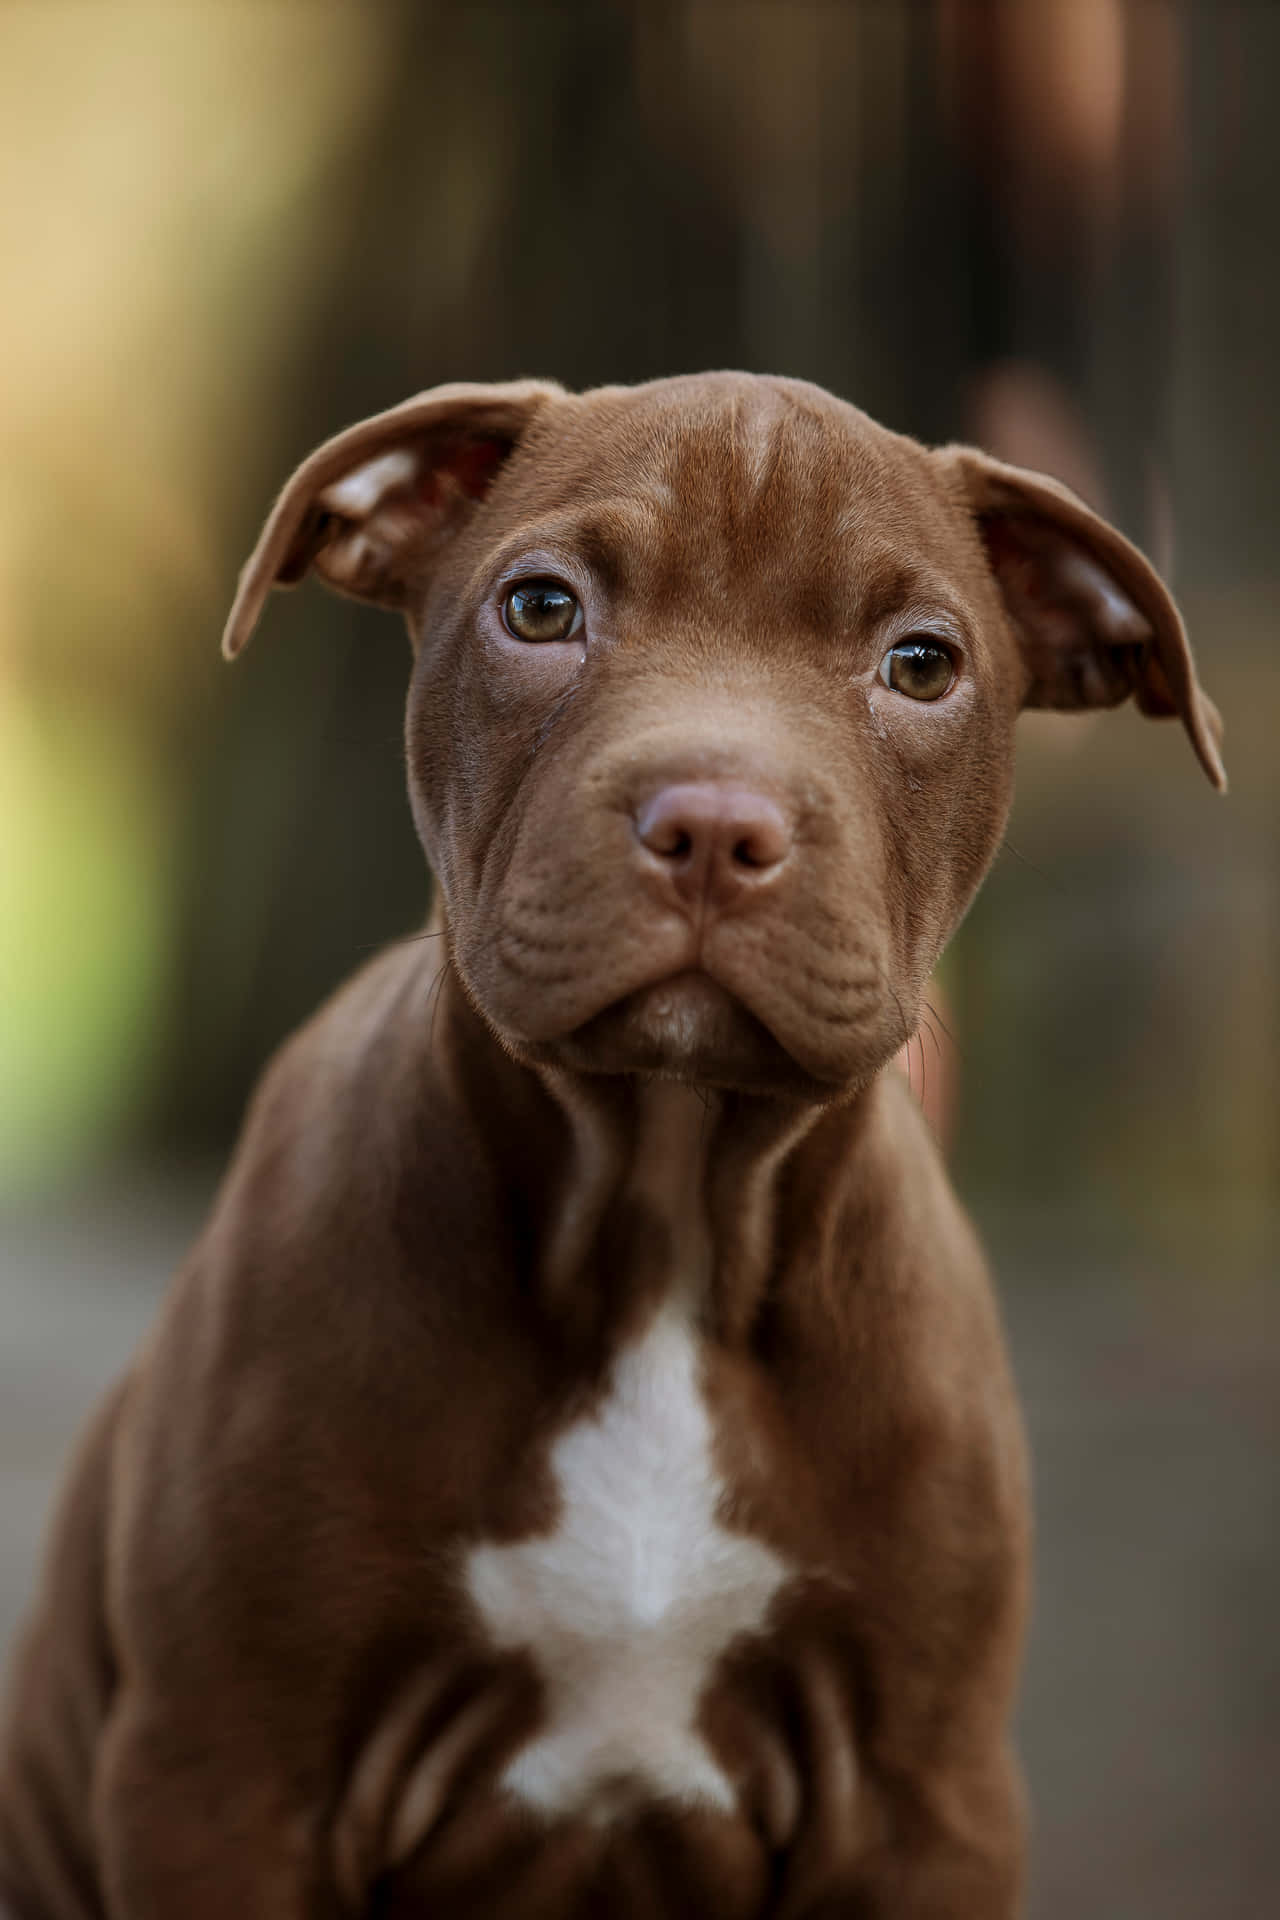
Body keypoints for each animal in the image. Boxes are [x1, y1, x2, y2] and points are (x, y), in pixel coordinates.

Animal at [0, 374, 1228, 1920]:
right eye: (541, 609)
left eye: (921, 663)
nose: (712, 823)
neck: (663, 1209)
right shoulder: (227, 1776)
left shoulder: (923, 1800)